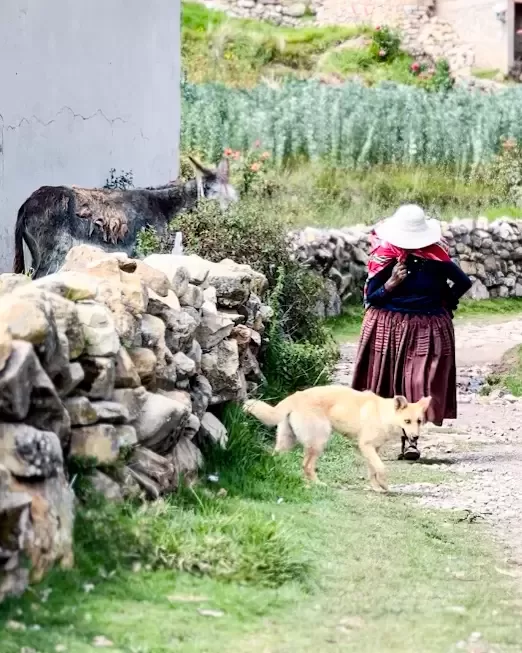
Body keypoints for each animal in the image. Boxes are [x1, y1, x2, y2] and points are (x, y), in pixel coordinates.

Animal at [244, 388, 430, 488]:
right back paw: (318, 484)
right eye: (407, 421)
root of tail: (294, 396)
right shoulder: (366, 446)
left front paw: (376, 487)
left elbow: (373, 470)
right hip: (319, 441)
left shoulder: (372, 450)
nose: (415, 437)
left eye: (419, 421)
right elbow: (381, 468)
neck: (383, 414)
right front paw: (383, 484)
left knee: (274, 459)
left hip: (286, 442)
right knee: (307, 466)